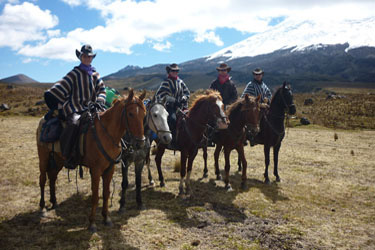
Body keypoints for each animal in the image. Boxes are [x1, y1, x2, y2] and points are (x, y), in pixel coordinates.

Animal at [36, 89, 145, 231]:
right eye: (131, 114)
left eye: (144, 115)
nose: (140, 143)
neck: (106, 134)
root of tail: (43, 120)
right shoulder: (96, 170)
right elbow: (95, 196)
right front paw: (92, 223)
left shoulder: (109, 169)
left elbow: (106, 193)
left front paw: (106, 218)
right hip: (43, 158)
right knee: (43, 180)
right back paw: (42, 207)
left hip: (58, 159)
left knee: (52, 178)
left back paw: (54, 202)